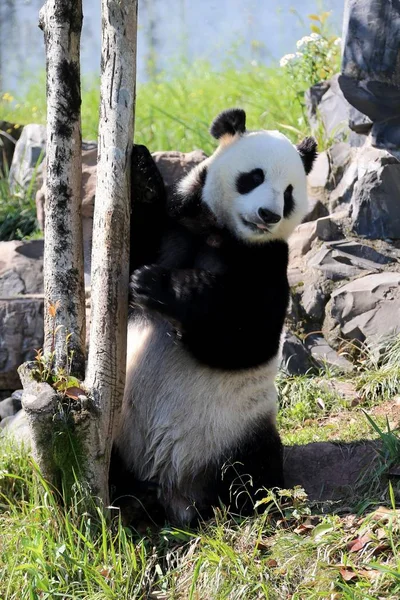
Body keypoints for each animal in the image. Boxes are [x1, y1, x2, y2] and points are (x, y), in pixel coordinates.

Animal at [111, 108, 316, 524]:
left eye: (289, 192)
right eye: (254, 177)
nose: (268, 215)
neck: (219, 231)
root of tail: (172, 491)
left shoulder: (267, 261)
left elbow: (245, 338)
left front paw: (160, 285)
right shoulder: (174, 226)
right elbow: (128, 254)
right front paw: (142, 173)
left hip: (236, 434)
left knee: (254, 470)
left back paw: (242, 505)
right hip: (122, 433)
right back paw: (128, 499)